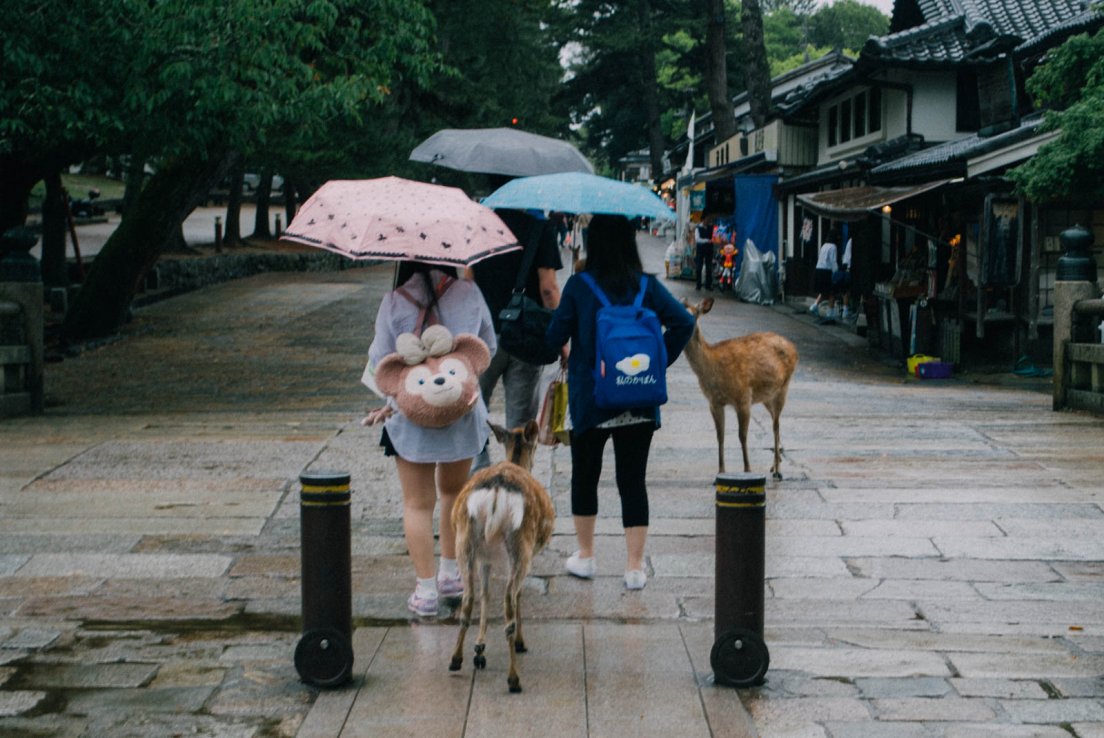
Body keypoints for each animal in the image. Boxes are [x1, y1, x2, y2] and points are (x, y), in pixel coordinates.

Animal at [446, 419, 552, 693]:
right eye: (536, 445)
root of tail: (496, 489)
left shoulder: (486, 559)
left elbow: (485, 594)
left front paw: (480, 647)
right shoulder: (527, 556)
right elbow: (518, 595)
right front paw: (521, 643)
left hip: (465, 541)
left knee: (468, 598)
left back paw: (456, 659)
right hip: (520, 546)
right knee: (508, 603)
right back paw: (514, 678)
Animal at [675, 298, 799, 479]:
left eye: (691, 315)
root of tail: (794, 348)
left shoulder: (743, 397)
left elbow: (742, 436)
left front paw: (747, 470)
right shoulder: (714, 402)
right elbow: (720, 436)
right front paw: (721, 471)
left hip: (784, 387)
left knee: (776, 425)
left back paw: (778, 471)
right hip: (766, 396)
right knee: (776, 423)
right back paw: (774, 466)